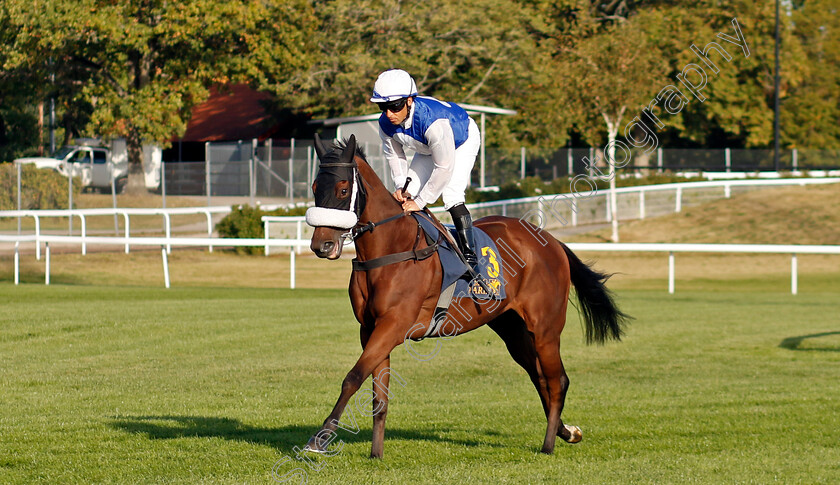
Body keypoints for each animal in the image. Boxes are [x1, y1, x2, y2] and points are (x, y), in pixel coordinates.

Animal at [306, 133, 628, 458]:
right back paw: (568, 431)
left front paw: (320, 438)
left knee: (556, 379)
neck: (391, 249)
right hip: (512, 328)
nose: (322, 245)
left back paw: (549, 444)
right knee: (540, 378)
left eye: (343, 188)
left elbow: (353, 377)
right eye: (315, 188)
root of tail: (551, 241)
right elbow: (378, 397)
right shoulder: (370, 328)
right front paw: (376, 453)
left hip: (545, 328)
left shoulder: (393, 325)